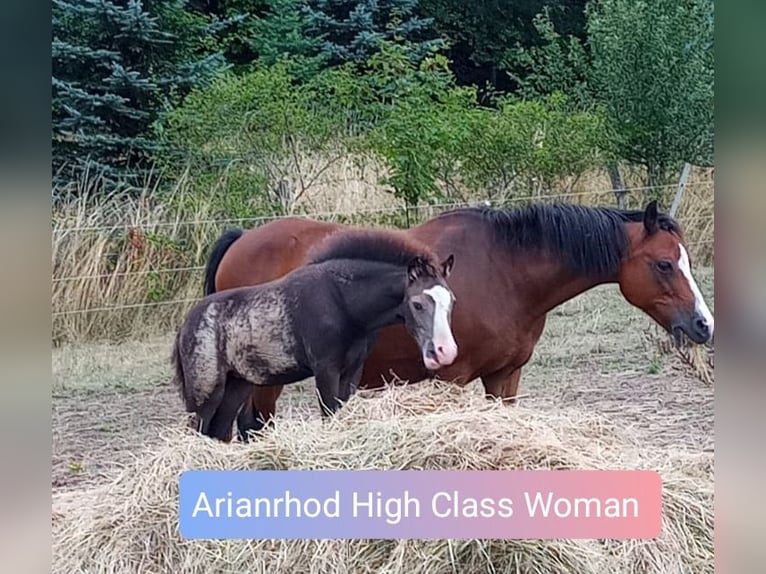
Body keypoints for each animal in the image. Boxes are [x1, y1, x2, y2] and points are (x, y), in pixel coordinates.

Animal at [202, 202, 712, 432]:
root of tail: (243, 238)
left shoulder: (505, 377)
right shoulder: (450, 379)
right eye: (664, 264)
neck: (503, 271)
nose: (704, 324)